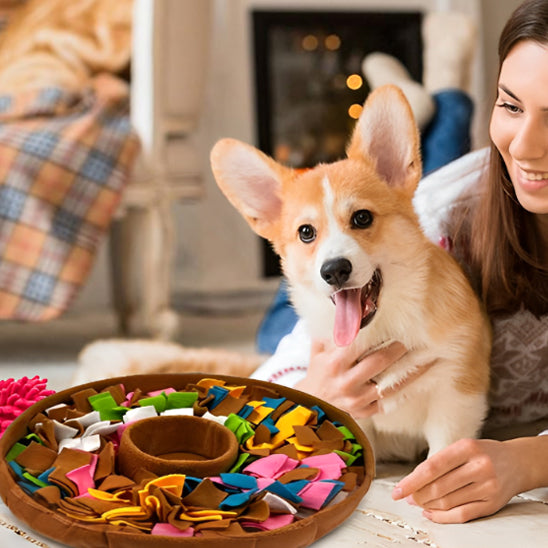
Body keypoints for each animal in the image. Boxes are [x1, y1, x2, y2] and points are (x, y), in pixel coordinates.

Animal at [211, 84, 492, 462]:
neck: (383, 330)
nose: (334, 271)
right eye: (306, 233)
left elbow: (443, 454)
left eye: (362, 218)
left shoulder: (455, 392)